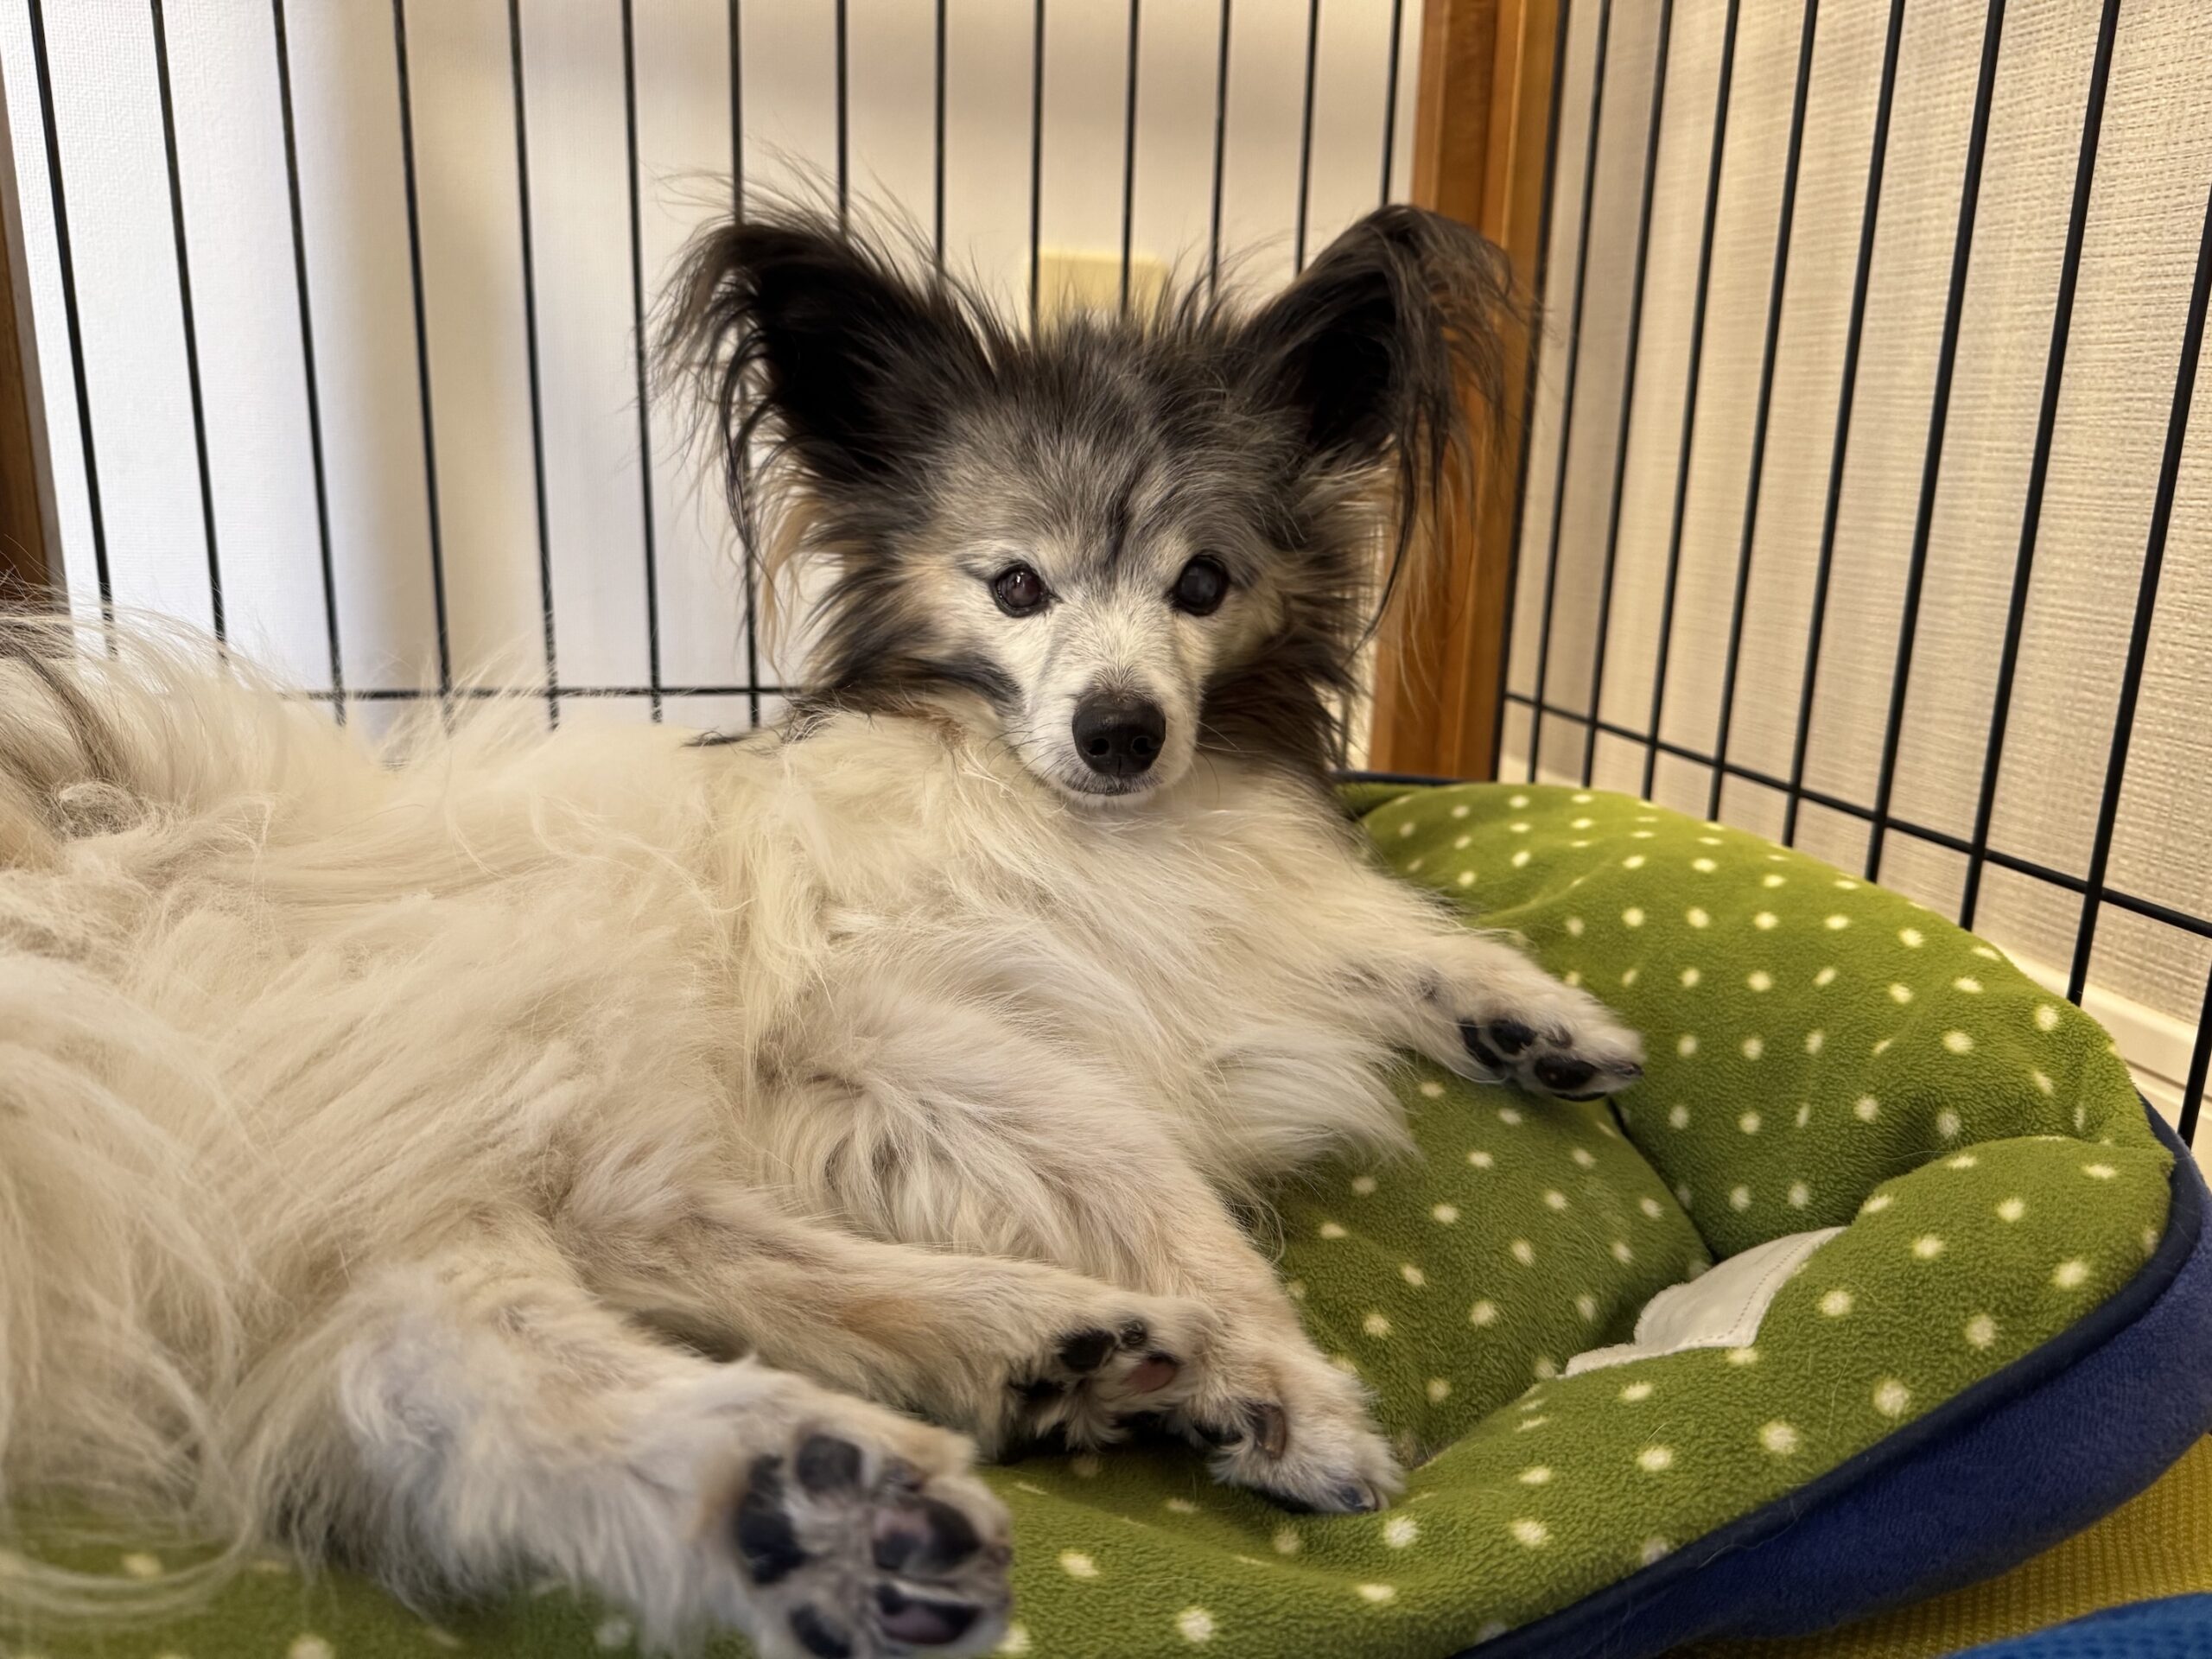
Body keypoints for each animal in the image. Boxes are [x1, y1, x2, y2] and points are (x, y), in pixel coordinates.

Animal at [0, 204, 1642, 1659]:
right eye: (1017, 585)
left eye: (1203, 583)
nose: (1121, 732)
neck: (1090, 829)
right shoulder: (895, 1019)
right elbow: (1158, 1179)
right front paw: (1283, 1386)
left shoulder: (1233, 935)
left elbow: (1372, 933)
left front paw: (1537, 1020)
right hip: (491, 1036)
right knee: (580, 1271)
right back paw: (921, 1420)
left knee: (480, 1347)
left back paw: (926, 1419)